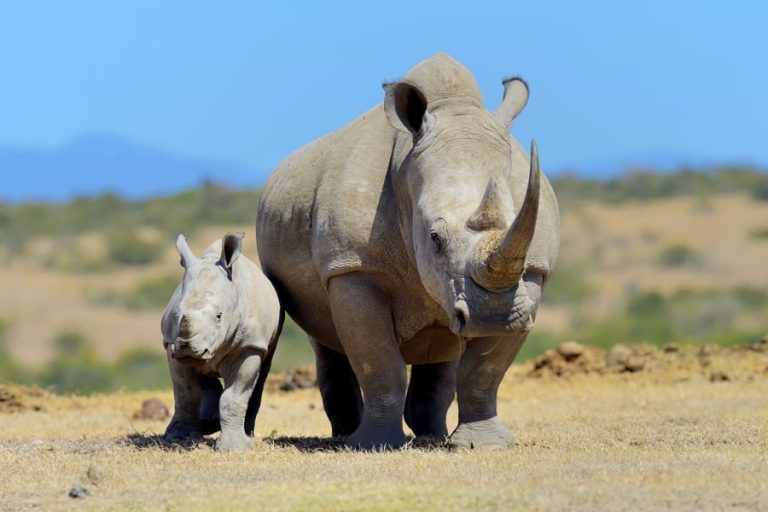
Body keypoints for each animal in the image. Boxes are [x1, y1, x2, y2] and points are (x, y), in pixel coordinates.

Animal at [161, 232, 282, 451]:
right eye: (176, 314)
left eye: (219, 316)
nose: (187, 348)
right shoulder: (170, 344)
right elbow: (185, 394)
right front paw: (179, 439)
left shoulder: (250, 345)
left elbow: (234, 396)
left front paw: (235, 448)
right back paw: (208, 423)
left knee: (261, 374)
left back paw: (247, 434)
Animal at [257, 53, 559, 449]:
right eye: (434, 237)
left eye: (520, 224)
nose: (492, 316)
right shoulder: (354, 267)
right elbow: (379, 363)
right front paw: (373, 445)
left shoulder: (532, 272)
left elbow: (484, 371)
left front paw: (484, 445)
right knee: (326, 339)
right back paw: (346, 436)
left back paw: (433, 435)